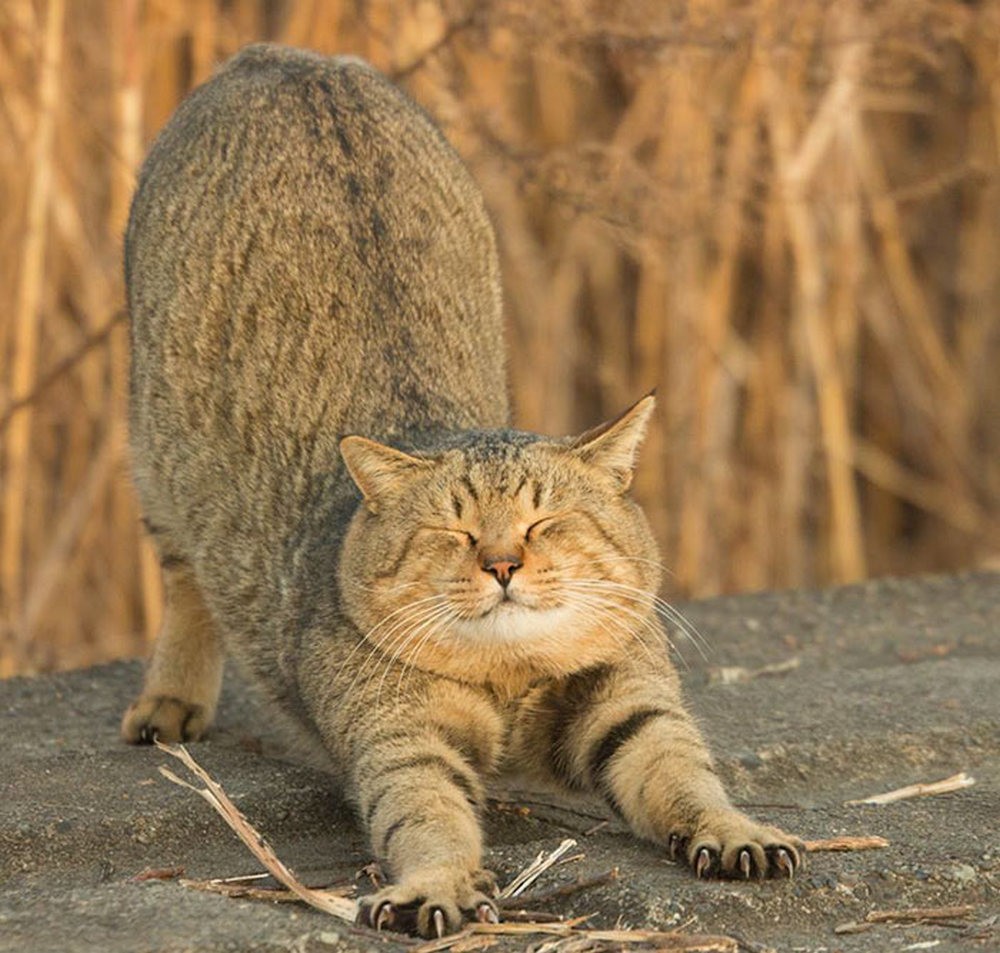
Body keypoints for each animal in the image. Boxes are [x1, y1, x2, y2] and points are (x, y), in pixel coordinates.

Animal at [121, 42, 804, 936]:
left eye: (545, 522)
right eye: (454, 531)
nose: (503, 564)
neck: (508, 676)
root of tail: (282, 57)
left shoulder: (632, 705)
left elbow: (686, 770)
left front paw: (735, 829)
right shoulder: (402, 741)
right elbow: (427, 816)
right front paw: (435, 885)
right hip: (155, 453)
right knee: (185, 582)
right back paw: (170, 699)